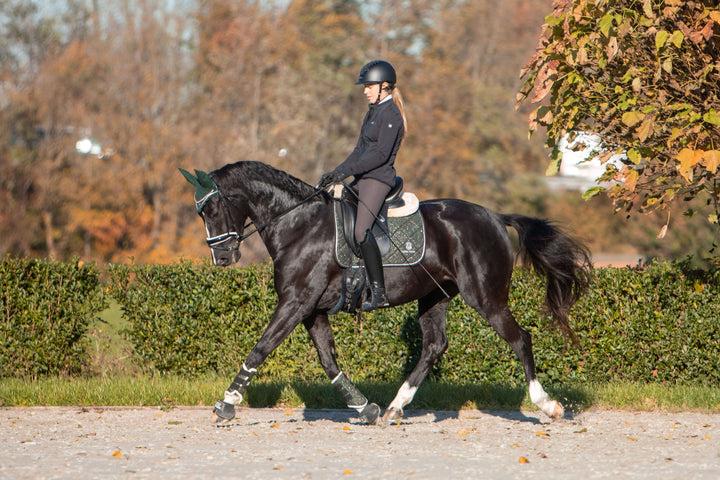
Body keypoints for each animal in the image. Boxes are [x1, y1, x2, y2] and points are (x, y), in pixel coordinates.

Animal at [180, 161, 592, 424]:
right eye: (200, 212)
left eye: (212, 207)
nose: (222, 257)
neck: (298, 224)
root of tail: (494, 216)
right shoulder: (311, 309)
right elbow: (328, 360)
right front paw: (364, 408)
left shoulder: (295, 303)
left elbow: (261, 348)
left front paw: (227, 403)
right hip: (435, 297)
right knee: (434, 345)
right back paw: (395, 407)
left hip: (486, 297)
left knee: (520, 338)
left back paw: (547, 405)